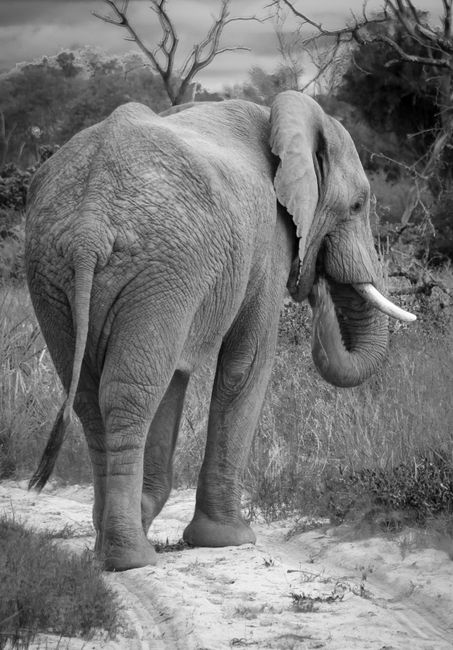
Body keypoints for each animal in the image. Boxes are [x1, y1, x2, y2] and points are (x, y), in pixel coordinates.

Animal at [25, 91, 415, 571]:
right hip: (156, 267)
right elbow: (246, 365)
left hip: (56, 272)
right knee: (128, 394)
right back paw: (131, 558)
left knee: (87, 396)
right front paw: (230, 539)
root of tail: (89, 226)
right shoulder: (268, 241)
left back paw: (107, 549)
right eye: (358, 205)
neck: (281, 122)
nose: (319, 289)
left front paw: (151, 510)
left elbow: (176, 375)